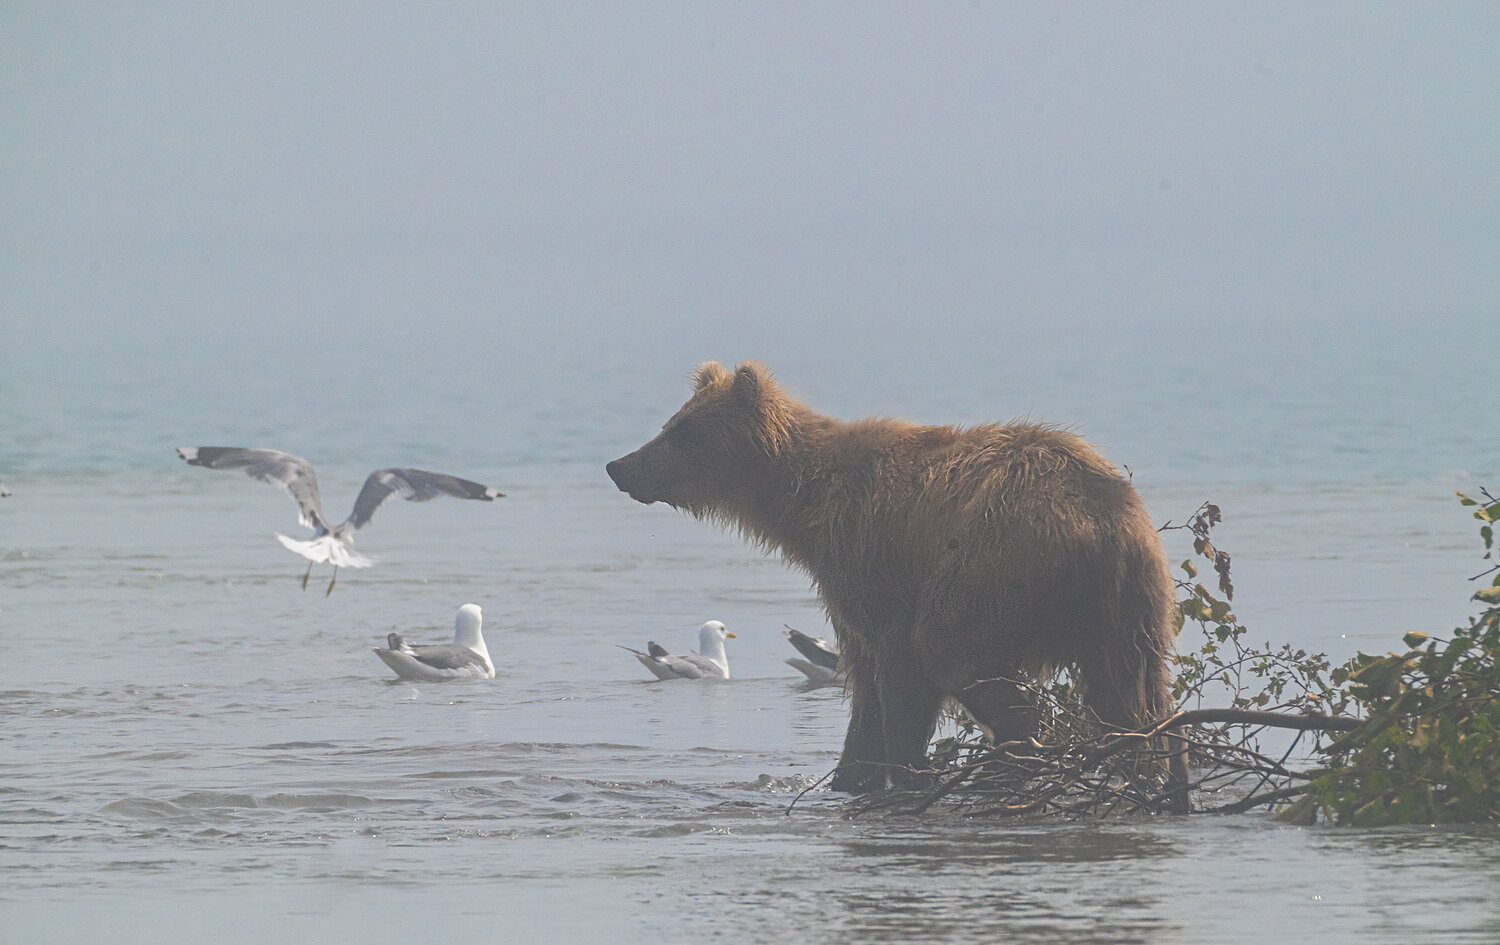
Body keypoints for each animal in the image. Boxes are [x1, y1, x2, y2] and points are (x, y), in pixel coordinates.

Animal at [607, 361, 1188, 809]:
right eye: (671, 422)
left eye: (683, 431)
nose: (619, 466)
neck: (802, 505)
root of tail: (1103, 519)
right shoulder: (851, 596)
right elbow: (865, 697)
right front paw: (849, 779)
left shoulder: (871, 567)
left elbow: (899, 682)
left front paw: (905, 773)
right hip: (1132, 603)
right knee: (1133, 694)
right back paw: (1147, 769)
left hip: (995, 565)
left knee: (956, 650)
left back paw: (1006, 768)